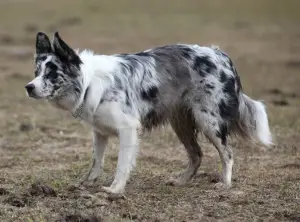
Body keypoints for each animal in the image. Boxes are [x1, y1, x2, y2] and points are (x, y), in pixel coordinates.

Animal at [25, 32, 274, 193]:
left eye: (52, 73)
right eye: (37, 72)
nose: (28, 87)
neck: (87, 83)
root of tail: (220, 54)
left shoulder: (128, 128)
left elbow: (122, 164)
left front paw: (115, 189)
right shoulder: (100, 132)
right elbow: (96, 161)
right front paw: (87, 183)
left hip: (209, 121)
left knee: (228, 153)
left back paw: (225, 184)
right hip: (181, 123)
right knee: (196, 155)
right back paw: (182, 181)